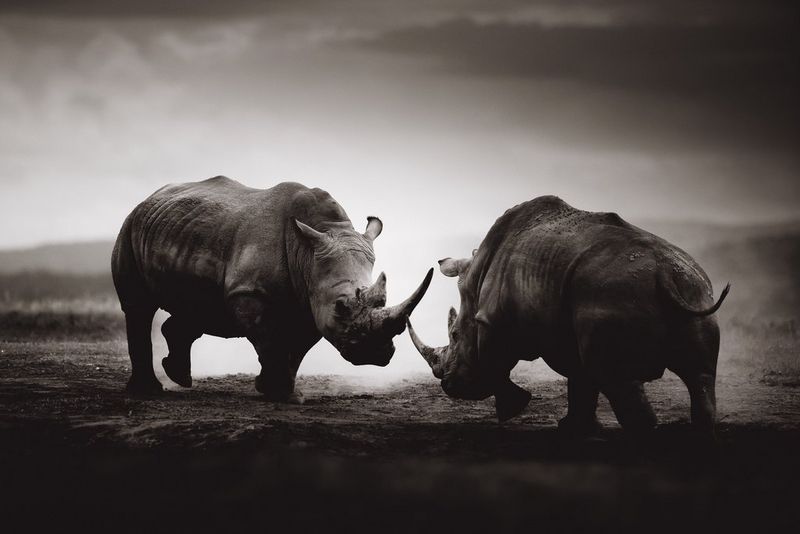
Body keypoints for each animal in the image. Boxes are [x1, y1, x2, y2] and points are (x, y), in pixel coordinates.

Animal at [112, 177, 432, 402]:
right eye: (341, 307)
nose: (374, 355)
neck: (309, 252)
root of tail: (150, 197)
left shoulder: (309, 301)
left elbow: (297, 348)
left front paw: (283, 392)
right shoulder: (251, 293)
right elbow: (270, 341)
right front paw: (280, 393)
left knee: (198, 306)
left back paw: (179, 377)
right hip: (129, 227)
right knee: (138, 307)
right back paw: (148, 391)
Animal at [410, 195, 728, 438]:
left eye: (454, 335)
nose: (449, 386)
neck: (475, 281)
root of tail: (664, 274)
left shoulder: (492, 321)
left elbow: (495, 364)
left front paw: (512, 408)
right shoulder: (566, 326)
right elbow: (580, 379)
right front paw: (575, 429)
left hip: (615, 295)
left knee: (615, 378)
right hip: (693, 288)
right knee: (700, 375)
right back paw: (699, 435)